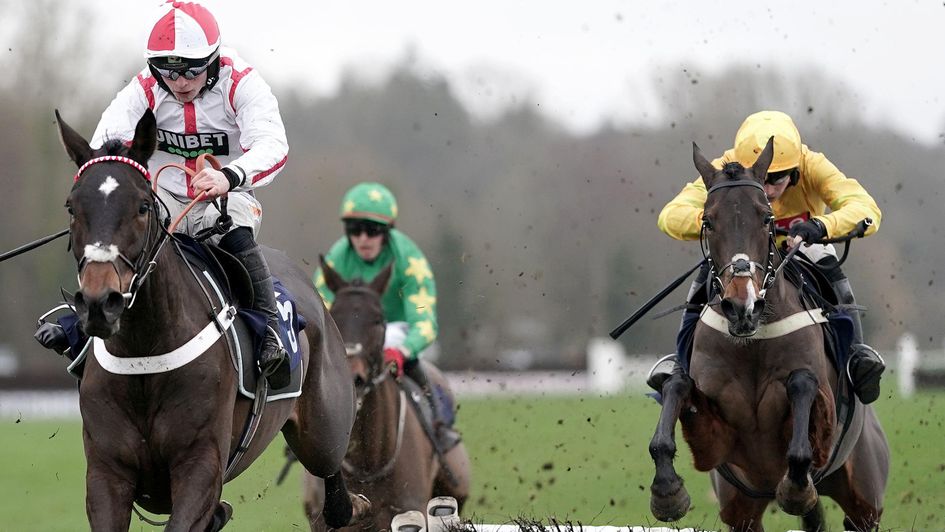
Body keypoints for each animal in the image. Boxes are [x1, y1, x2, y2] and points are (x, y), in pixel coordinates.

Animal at [55, 109, 370, 532]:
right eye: (73, 208)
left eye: (141, 207)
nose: (99, 304)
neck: (144, 354)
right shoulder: (107, 472)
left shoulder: (199, 465)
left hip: (325, 430)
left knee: (336, 491)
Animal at [644, 138, 888, 532]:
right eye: (707, 220)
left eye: (767, 218)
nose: (742, 305)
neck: (752, 343)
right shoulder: (716, 431)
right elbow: (677, 386)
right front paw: (667, 492)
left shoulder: (822, 402)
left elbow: (802, 386)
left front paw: (795, 487)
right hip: (741, 507)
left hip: (865, 499)